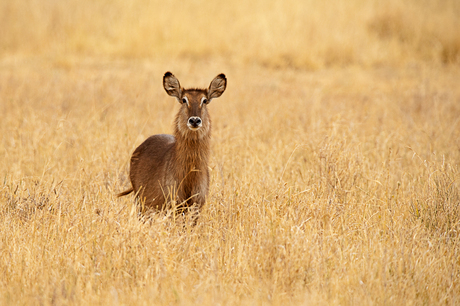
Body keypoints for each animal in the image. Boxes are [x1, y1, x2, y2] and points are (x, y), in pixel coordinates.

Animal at [117, 71, 227, 218]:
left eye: (204, 100)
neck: (189, 176)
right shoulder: (173, 204)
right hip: (142, 203)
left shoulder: (197, 206)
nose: (194, 120)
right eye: (184, 100)